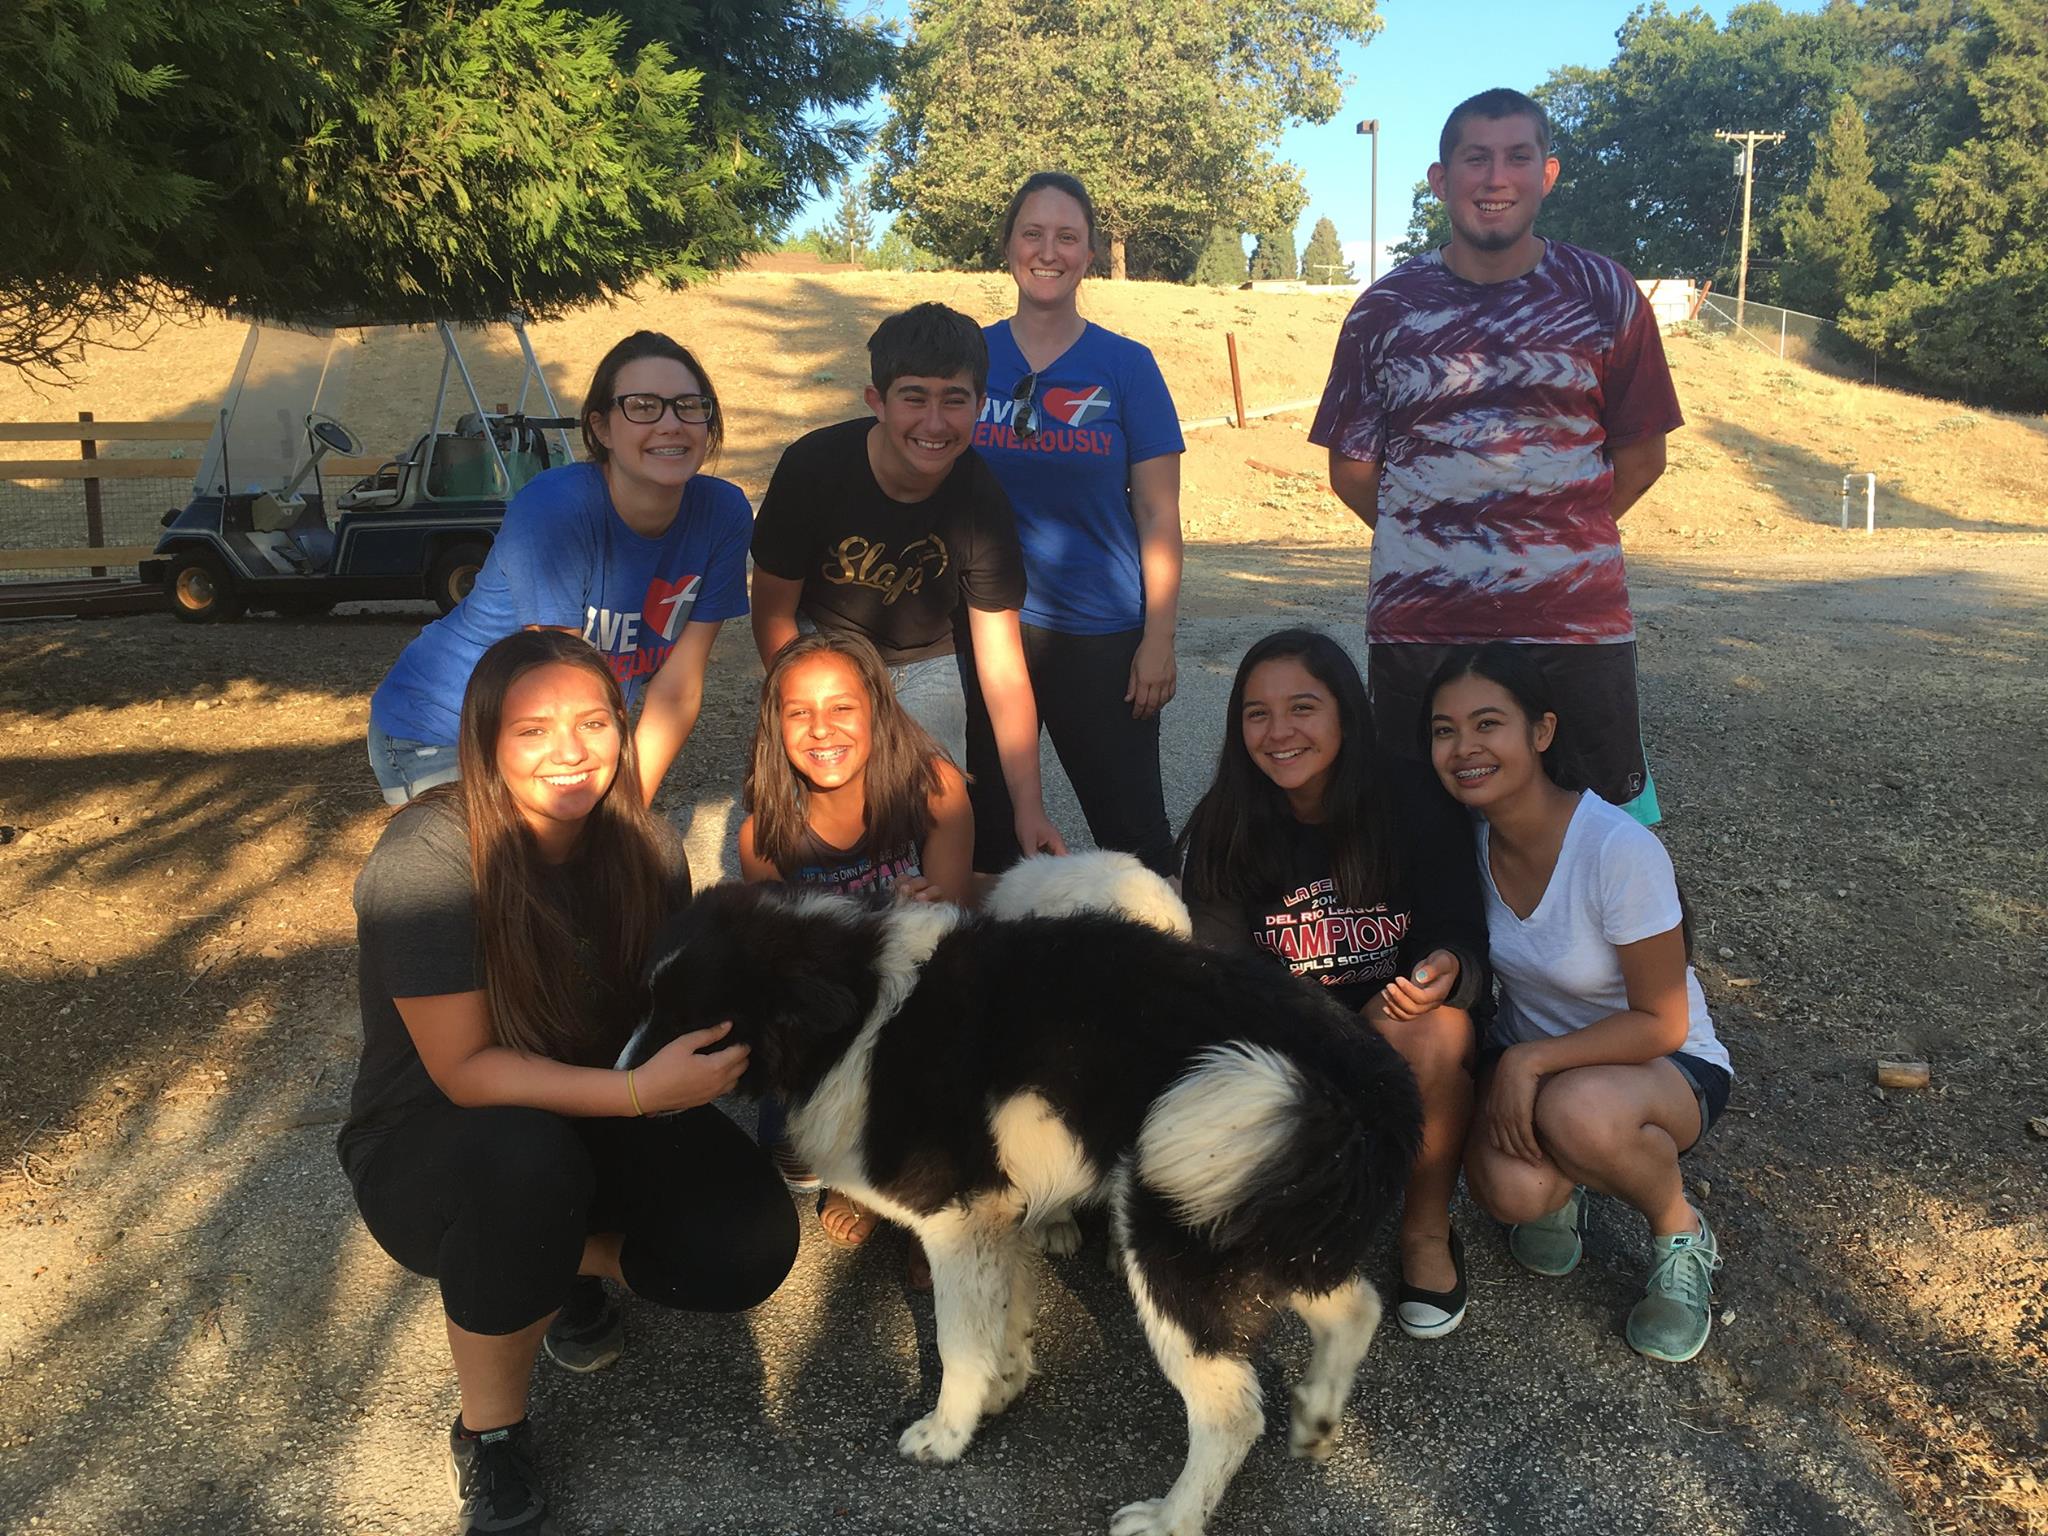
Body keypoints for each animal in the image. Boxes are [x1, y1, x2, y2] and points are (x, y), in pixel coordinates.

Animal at [622, 868, 1417, 1536]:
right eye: (646, 1005)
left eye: (693, 1029)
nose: (623, 1087)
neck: (856, 1001)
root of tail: (1359, 1093)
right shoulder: (995, 1216)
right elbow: (1000, 1323)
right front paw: (999, 1393)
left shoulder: (953, 1217)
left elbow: (958, 1341)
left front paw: (947, 1435)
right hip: (1258, 1221)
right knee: (1356, 1306)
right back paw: (1317, 1415)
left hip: (1176, 1235)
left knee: (1230, 1414)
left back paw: (1171, 1519)